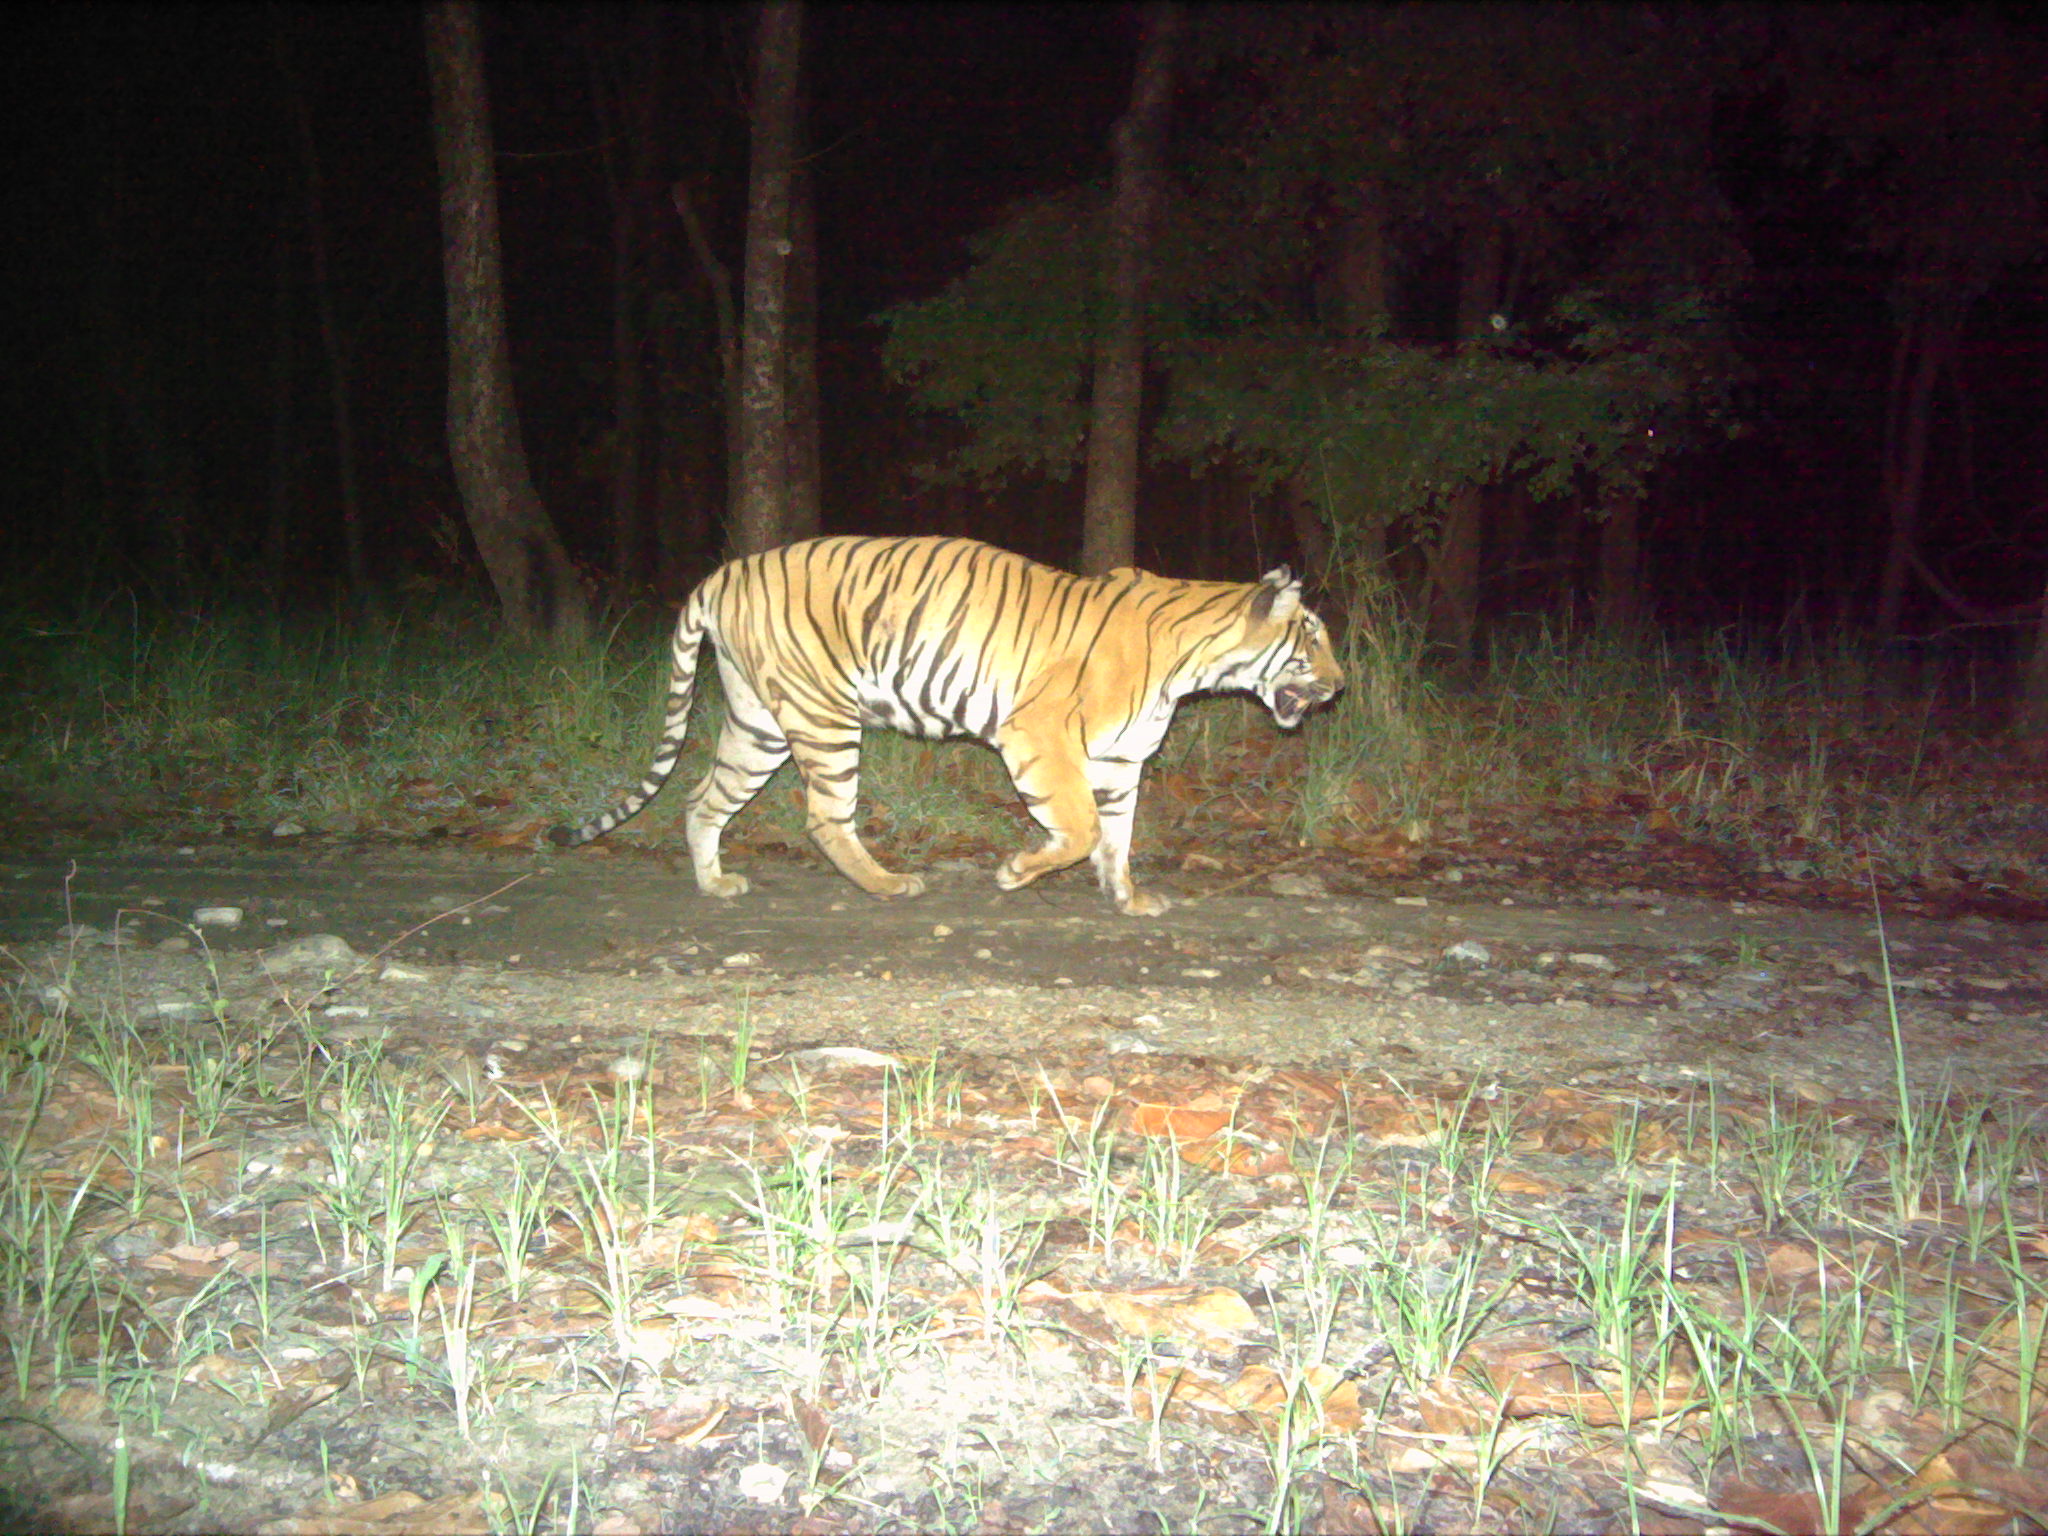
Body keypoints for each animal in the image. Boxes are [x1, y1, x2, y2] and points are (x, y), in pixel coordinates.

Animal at [549, 535, 1343, 916]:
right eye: (1311, 638)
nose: (1340, 686)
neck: (1195, 663)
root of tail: (724, 573)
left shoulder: (1121, 761)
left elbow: (1116, 839)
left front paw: (1127, 900)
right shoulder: (1039, 736)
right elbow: (1080, 828)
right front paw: (1017, 872)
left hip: (757, 723)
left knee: (699, 799)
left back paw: (715, 886)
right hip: (822, 715)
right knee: (824, 817)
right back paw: (889, 885)